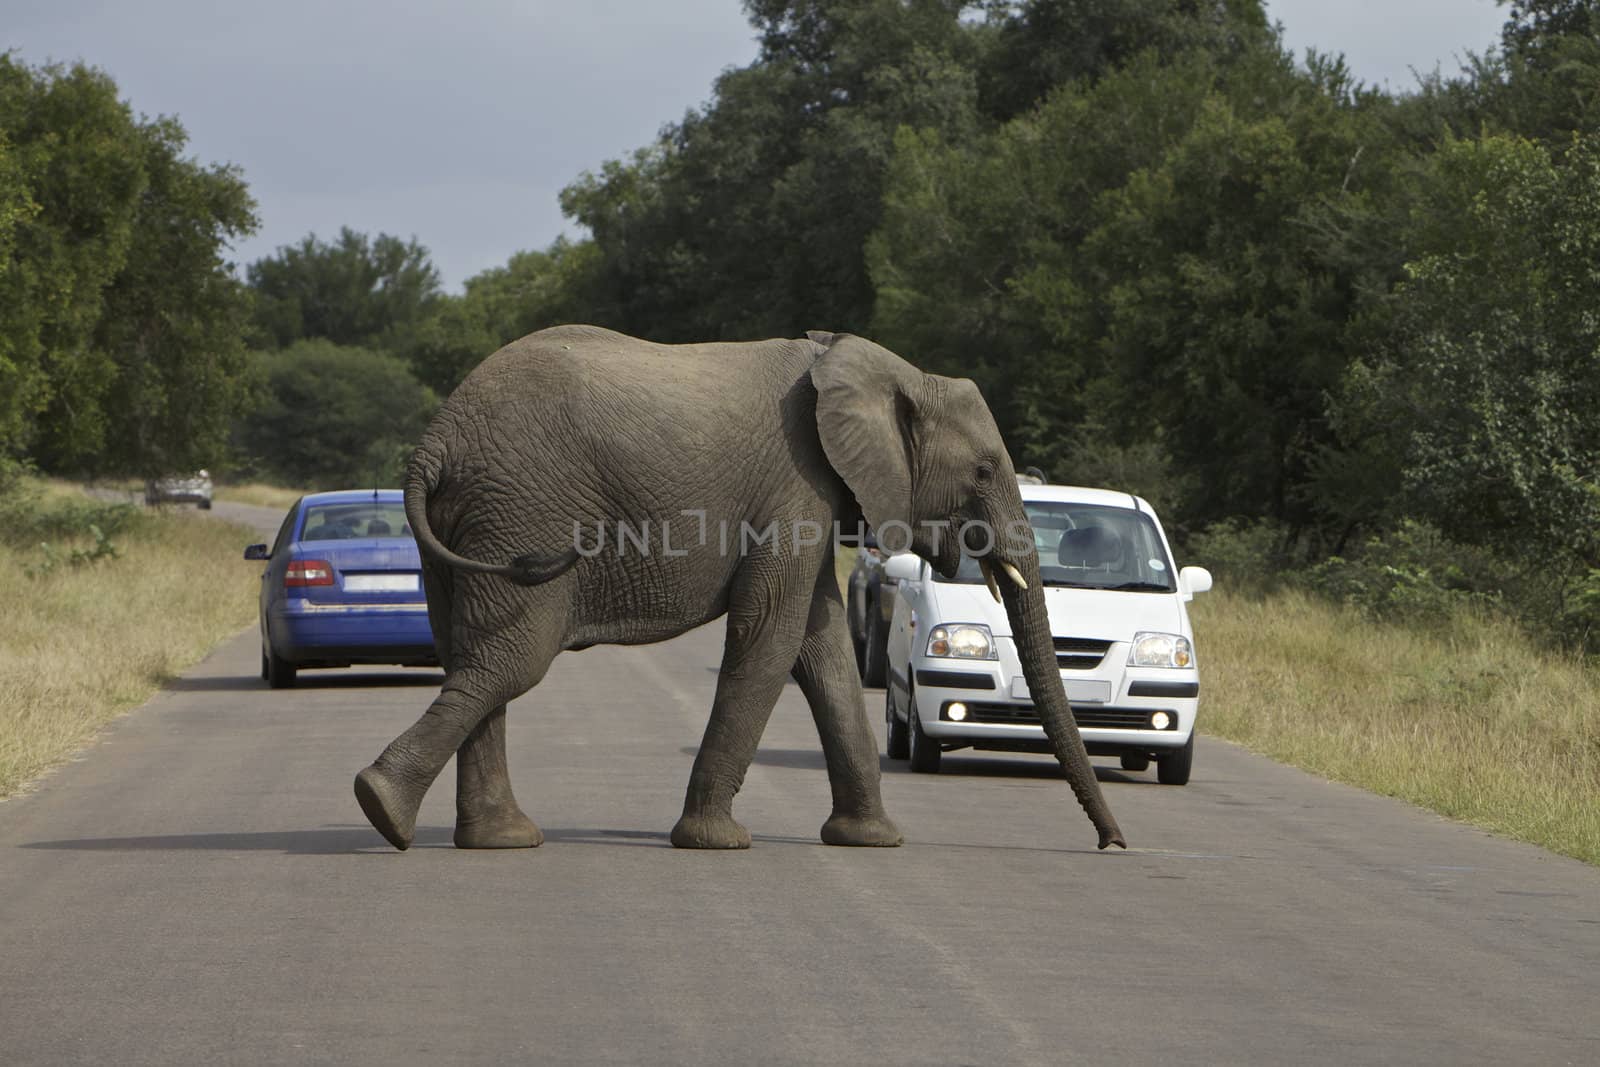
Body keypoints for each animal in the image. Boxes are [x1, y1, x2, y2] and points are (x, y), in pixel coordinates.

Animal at [353, 323, 1126, 851]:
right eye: (986, 471)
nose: (1112, 843)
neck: (884, 369)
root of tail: (436, 443)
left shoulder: (811, 497)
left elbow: (823, 650)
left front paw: (872, 840)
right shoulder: (796, 484)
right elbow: (772, 635)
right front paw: (716, 842)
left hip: (471, 525)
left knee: (472, 658)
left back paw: (487, 835)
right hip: (520, 514)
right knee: (510, 659)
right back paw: (382, 808)